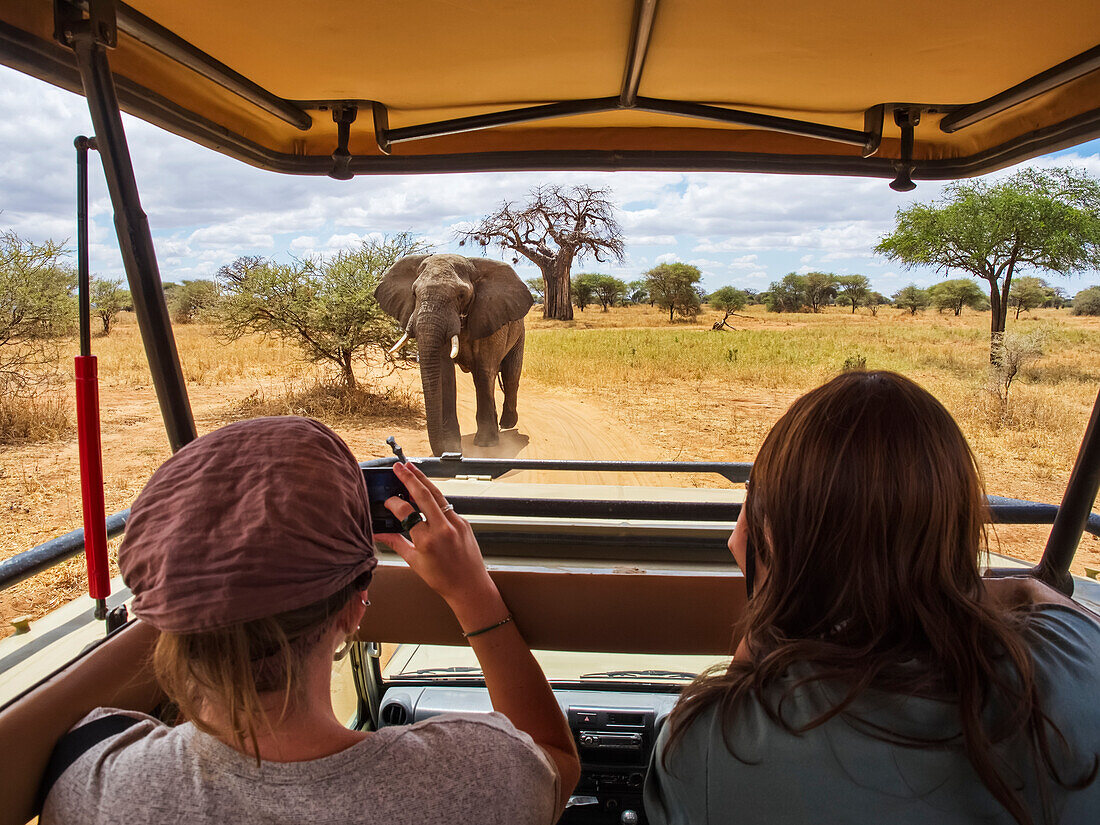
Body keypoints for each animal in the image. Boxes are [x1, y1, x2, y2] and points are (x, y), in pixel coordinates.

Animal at [376, 254, 534, 455]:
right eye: (414, 294)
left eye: (461, 295)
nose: (394, 445)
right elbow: (445, 374)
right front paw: (452, 447)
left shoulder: (488, 317)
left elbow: (484, 372)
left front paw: (486, 444)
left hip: (519, 332)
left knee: (510, 375)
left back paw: (507, 424)